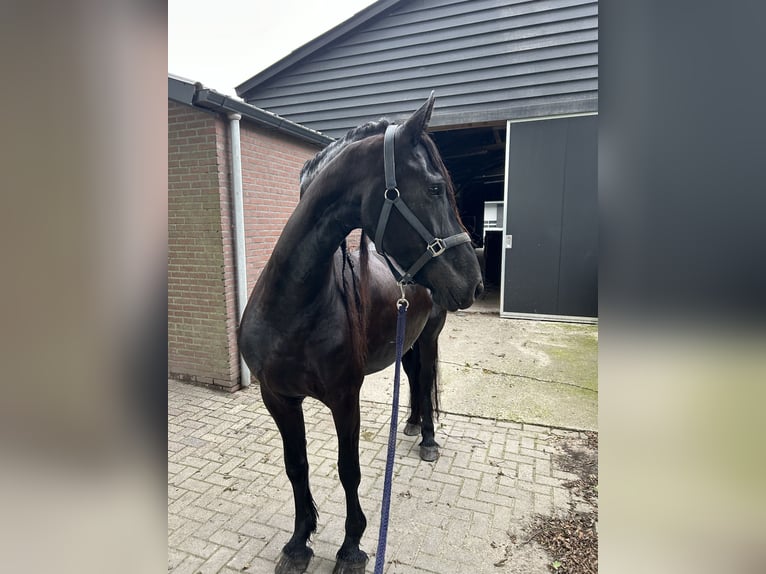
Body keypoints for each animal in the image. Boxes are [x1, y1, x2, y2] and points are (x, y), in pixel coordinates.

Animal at [238, 95, 483, 574]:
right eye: (435, 189)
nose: (474, 282)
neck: (293, 307)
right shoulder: (277, 397)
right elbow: (296, 465)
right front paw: (299, 541)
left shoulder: (344, 397)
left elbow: (347, 469)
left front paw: (351, 547)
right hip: (407, 341)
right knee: (413, 380)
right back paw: (410, 424)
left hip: (429, 339)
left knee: (426, 379)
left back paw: (428, 440)